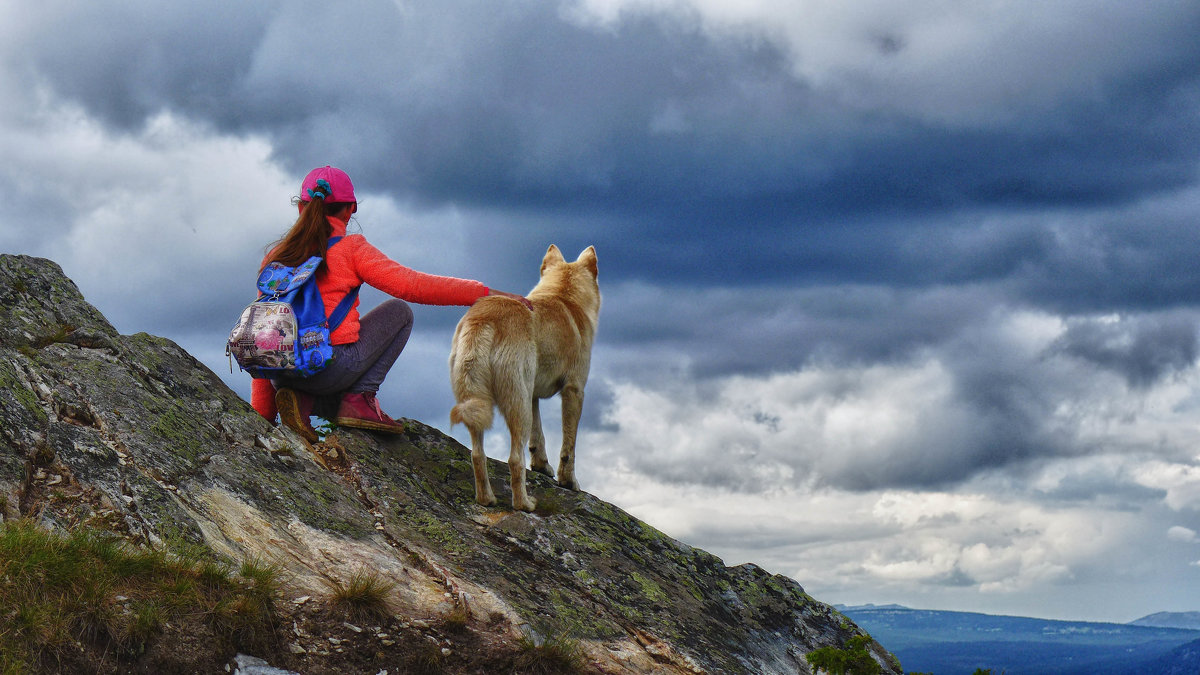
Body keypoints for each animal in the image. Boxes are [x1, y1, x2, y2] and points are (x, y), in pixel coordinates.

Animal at [451, 243, 600, 506]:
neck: (563, 295)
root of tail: (485, 319)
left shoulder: (532, 395)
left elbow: (537, 437)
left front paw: (541, 466)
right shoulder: (574, 391)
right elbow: (568, 447)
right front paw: (568, 482)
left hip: (480, 404)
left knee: (478, 455)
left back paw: (487, 499)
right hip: (516, 405)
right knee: (514, 460)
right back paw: (525, 504)